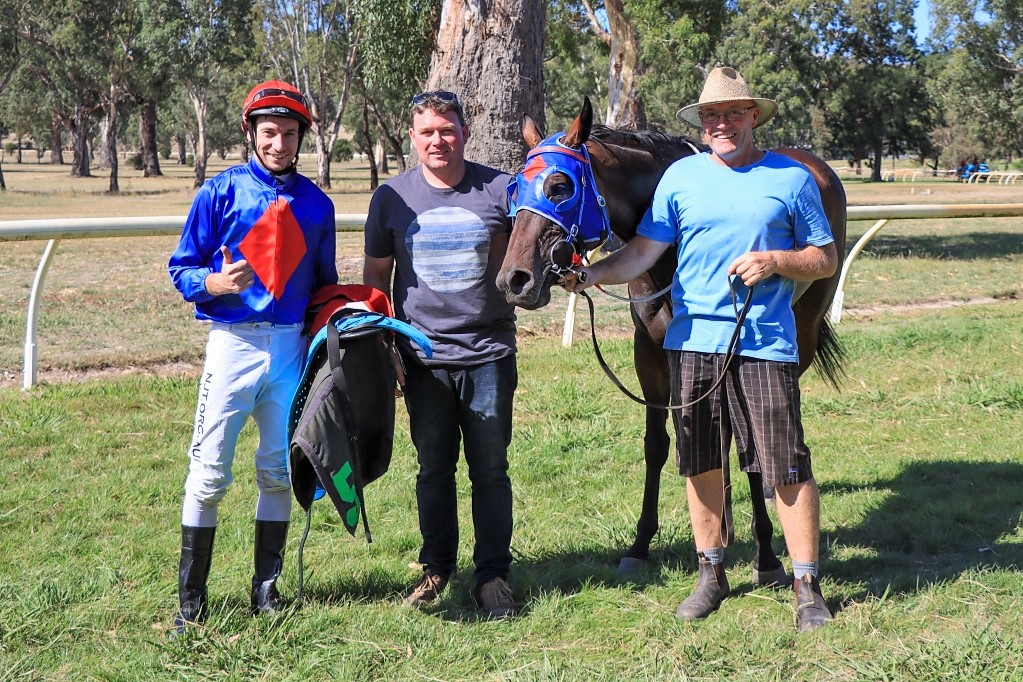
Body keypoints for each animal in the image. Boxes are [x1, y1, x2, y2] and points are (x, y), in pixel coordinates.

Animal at [497, 100, 847, 576]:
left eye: (558, 186)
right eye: (515, 189)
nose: (514, 280)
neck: (671, 252)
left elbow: (750, 442)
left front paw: (766, 552)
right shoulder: (651, 352)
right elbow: (662, 443)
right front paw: (641, 543)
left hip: (803, 334)